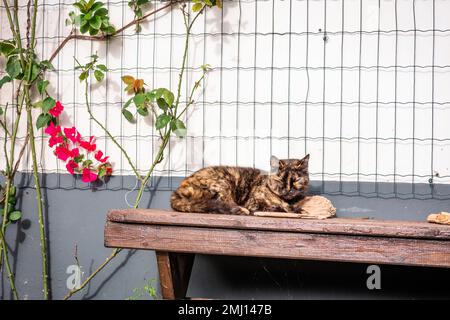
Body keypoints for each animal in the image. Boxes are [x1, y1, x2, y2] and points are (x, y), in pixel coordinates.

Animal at [170, 154, 310, 215]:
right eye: (280, 180)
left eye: (296, 180)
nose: (288, 190)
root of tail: (176, 192)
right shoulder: (254, 201)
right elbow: (277, 207)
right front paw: (293, 209)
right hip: (223, 183)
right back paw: (241, 210)